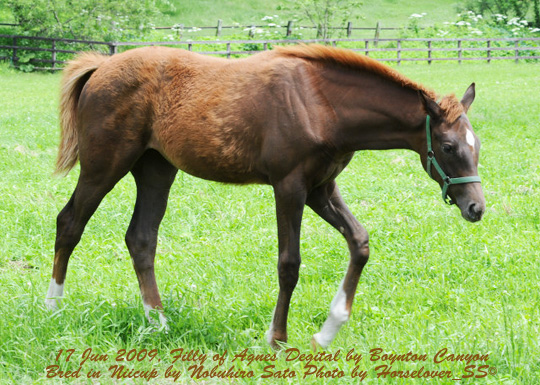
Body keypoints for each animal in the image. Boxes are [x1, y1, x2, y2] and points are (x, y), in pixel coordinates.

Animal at [46, 44, 486, 348]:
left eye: (476, 144)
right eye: (448, 147)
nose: (476, 207)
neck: (321, 103)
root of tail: (101, 66)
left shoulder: (321, 188)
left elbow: (359, 243)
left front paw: (325, 334)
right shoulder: (289, 186)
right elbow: (289, 263)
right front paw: (277, 339)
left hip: (156, 170)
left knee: (141, 238)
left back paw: (159, 324)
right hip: (104, 165)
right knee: (70, 223)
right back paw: (53, 307)